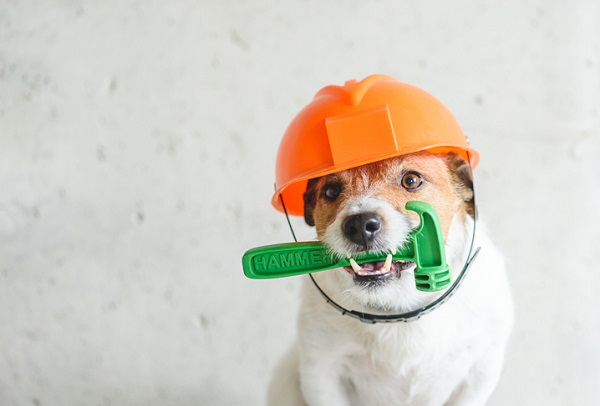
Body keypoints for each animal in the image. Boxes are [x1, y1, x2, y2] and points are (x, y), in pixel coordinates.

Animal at [270, 151, 512, 404]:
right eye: (332, 191)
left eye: (411, 181)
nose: (359, 225)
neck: (397, 310)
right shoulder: (320, 373)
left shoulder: (480, 372)